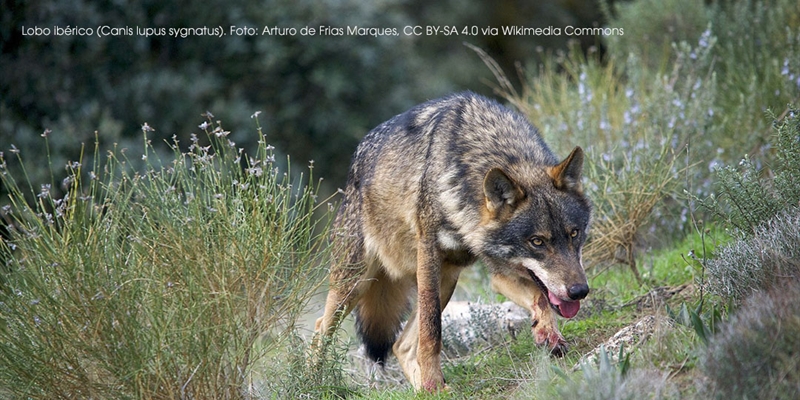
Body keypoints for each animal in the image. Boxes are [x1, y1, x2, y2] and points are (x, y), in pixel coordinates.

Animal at [313, 92, 591, 391]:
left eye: (574, 233)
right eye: (537, 242)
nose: (579, 291)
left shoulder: (500, 272)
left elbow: (540, 298)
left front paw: (547, 333)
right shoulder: (429, 255)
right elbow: (432, 331)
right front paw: (433, 379)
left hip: (446, 280)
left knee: (401, 345)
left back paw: (426, 391)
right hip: (356, 284)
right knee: (320, 329)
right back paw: (313, 381)